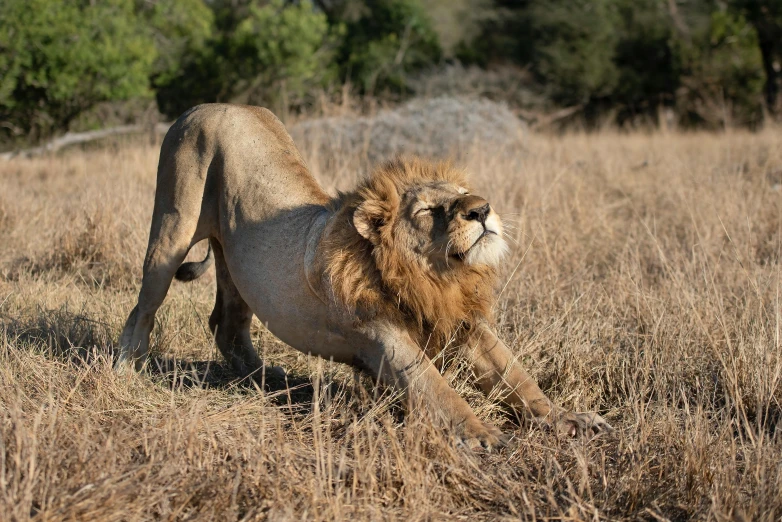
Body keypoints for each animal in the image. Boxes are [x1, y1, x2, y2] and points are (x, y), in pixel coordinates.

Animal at [116, 102, 616, 446]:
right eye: (429, 210)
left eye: (462, 193)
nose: (482, 208)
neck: (438, 279)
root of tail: (208, 105)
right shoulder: (384, 337)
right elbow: (437, 389)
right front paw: (482, 435)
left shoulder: (466, 324)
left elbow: (519, 378)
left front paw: (567, 418)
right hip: (172, 226)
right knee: (142, 310)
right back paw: (126, 371)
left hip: (236, 266)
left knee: (226, 325)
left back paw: (271, 381)